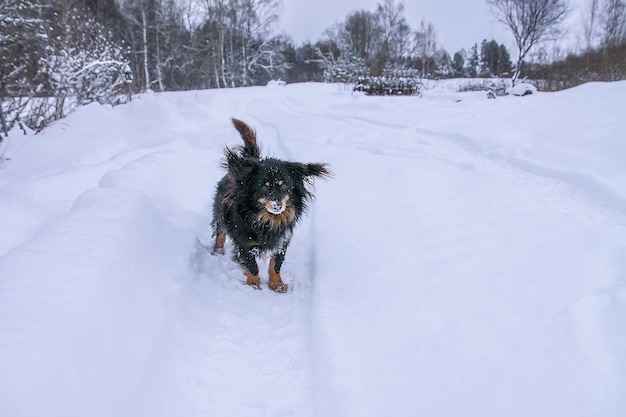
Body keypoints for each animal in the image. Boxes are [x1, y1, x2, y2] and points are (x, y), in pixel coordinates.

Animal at [210, 118, 330, 292]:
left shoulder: (282, 241)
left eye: (284, 185)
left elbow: (276, 264)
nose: (277, 205)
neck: (269, 219)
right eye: (264, 186)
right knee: (220, 233)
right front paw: (254, 285)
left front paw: (277, 284)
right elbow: (251, 265)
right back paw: (217, 251)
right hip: (220, 215)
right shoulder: (244, 241)